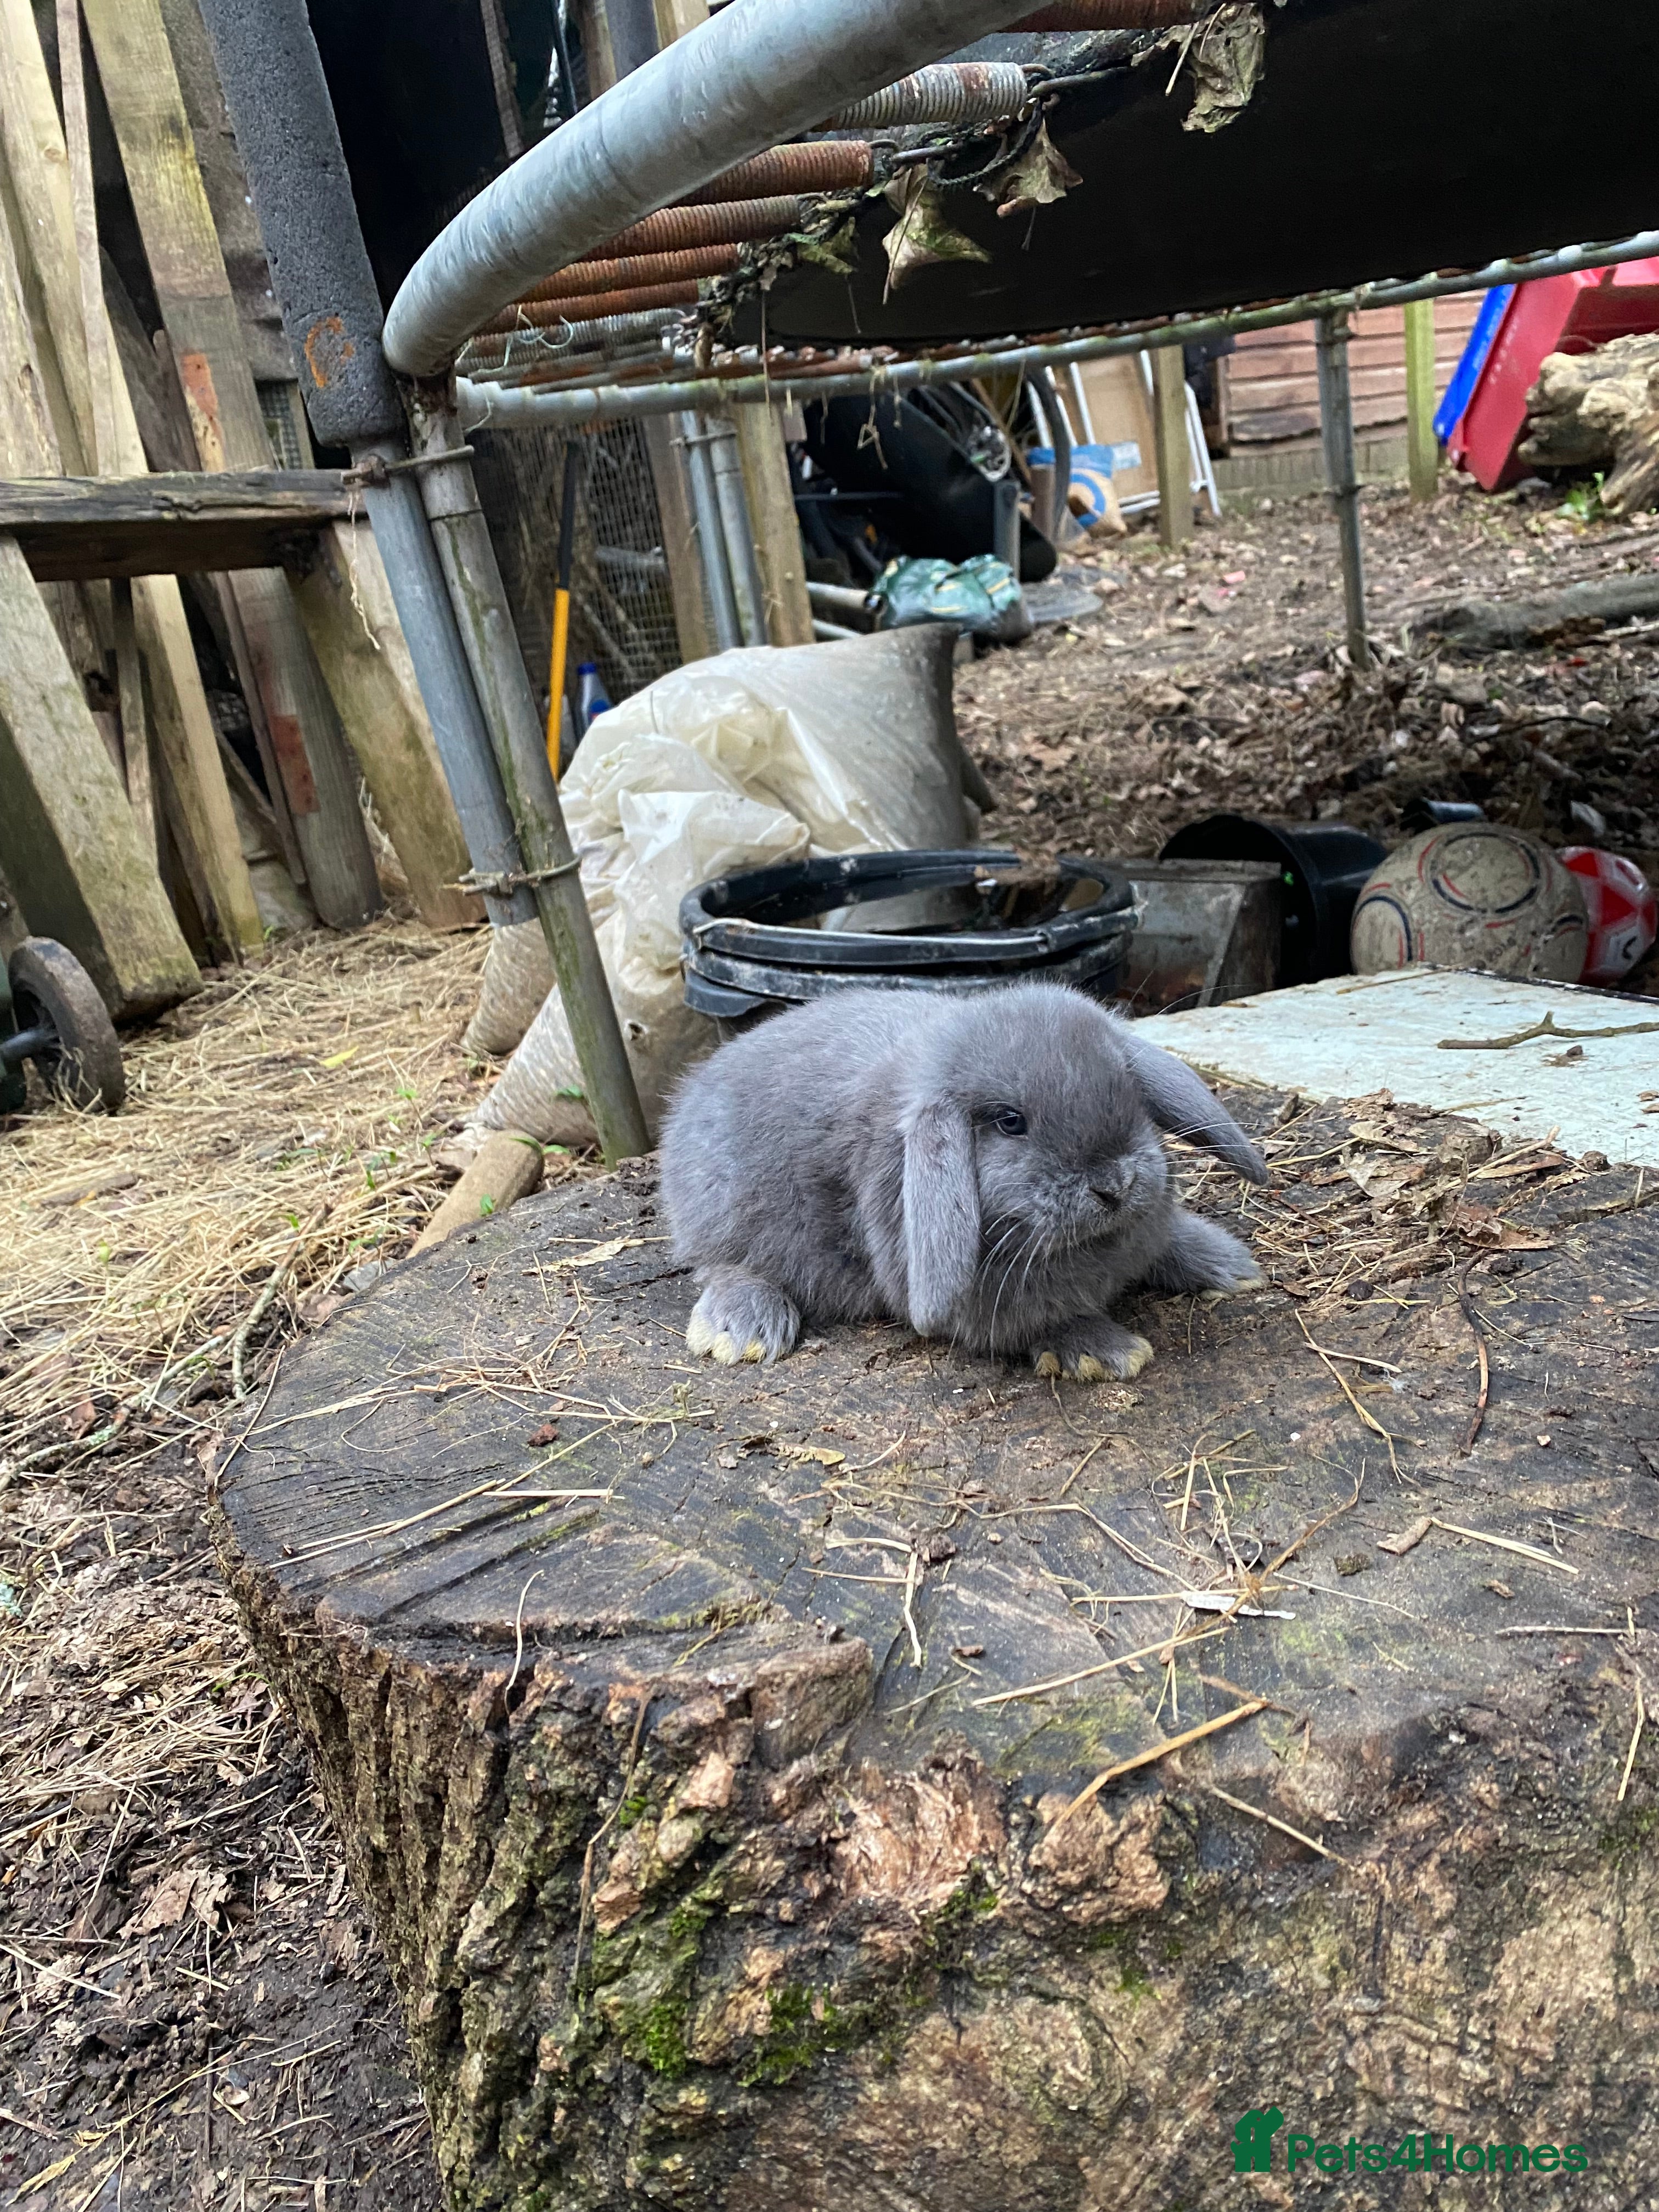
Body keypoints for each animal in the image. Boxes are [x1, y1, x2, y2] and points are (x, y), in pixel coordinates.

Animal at [659, 981, 1269, 1383]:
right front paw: (1108, 1352)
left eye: (1127, 1087)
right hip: (732, 1223)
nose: (1115, 1185)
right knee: (726, 1268)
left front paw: (1230, 1267)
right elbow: (1046, 1319)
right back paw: (741, 1334)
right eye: (1010, 1122)